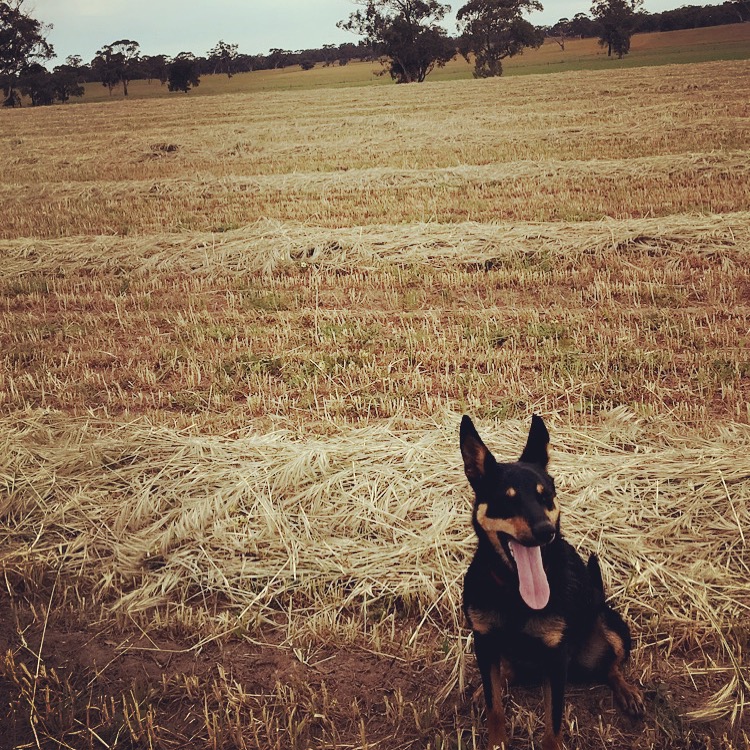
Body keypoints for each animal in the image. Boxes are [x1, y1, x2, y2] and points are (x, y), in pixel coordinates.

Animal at [462, 414, 644, 748]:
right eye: (506, 500)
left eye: (545, 496)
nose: (546, 531)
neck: (515, 592)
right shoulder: (484, 641)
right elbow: (495, 707)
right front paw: (496, 740)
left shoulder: (556, 658)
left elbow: (553, 720)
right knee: (507, 672)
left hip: (610, 624)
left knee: (612, 666)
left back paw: (627, 692)